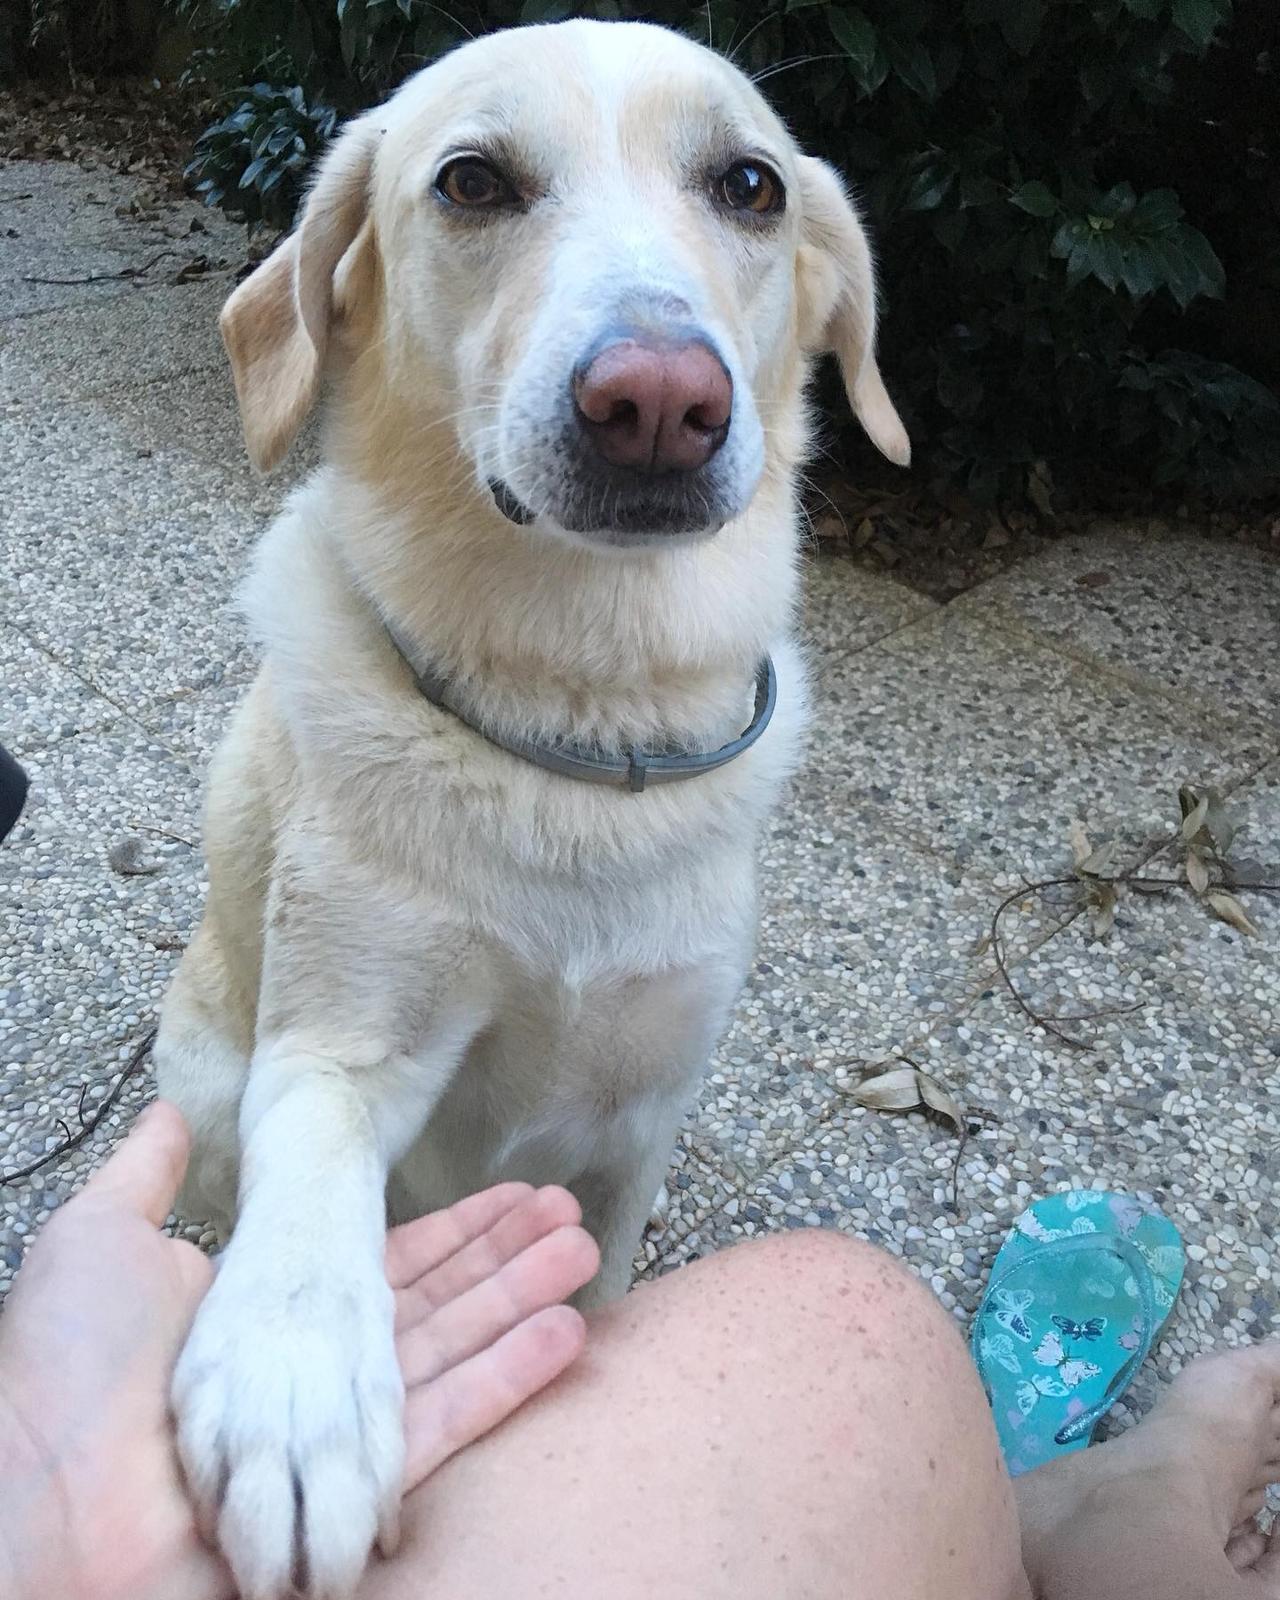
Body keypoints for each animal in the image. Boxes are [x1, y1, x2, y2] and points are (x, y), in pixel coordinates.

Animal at [155, 15, 902, 1600]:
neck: (579, 738)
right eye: (472, 181)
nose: (660, 401)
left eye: (749, 185)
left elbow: (606, 1296)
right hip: (201, 1091)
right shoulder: (337, 1050)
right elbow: (307, 1215)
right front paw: (294, 1393)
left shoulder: (639, 1128)